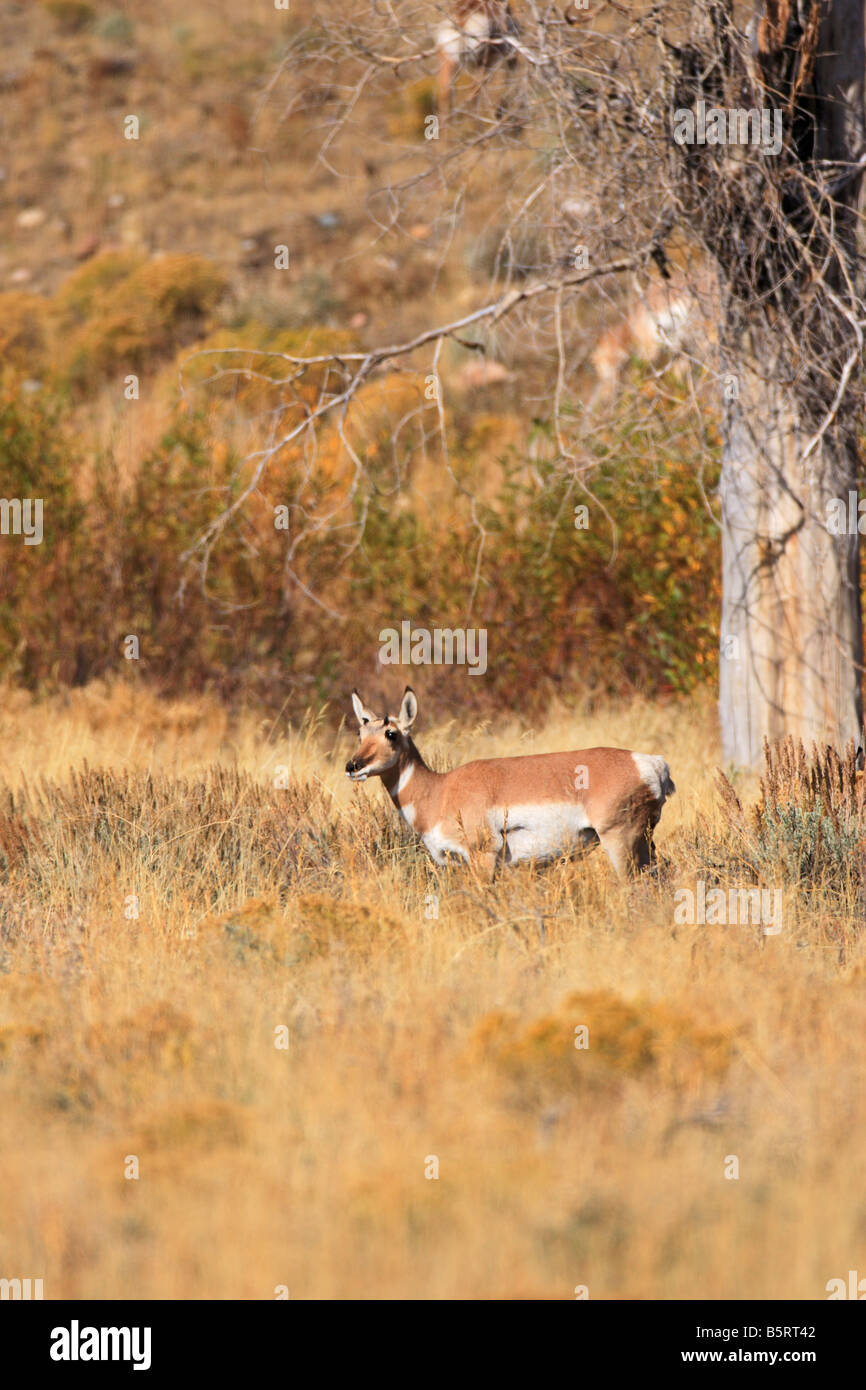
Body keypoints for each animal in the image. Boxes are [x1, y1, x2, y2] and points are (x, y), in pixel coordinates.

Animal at [347, 686, 678, 878]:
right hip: (644, 842)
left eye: (391, 733)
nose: (352, 766)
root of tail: (649, 762)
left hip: (619, 842)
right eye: (361, 733)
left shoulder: (482, 857)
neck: (439, 790)